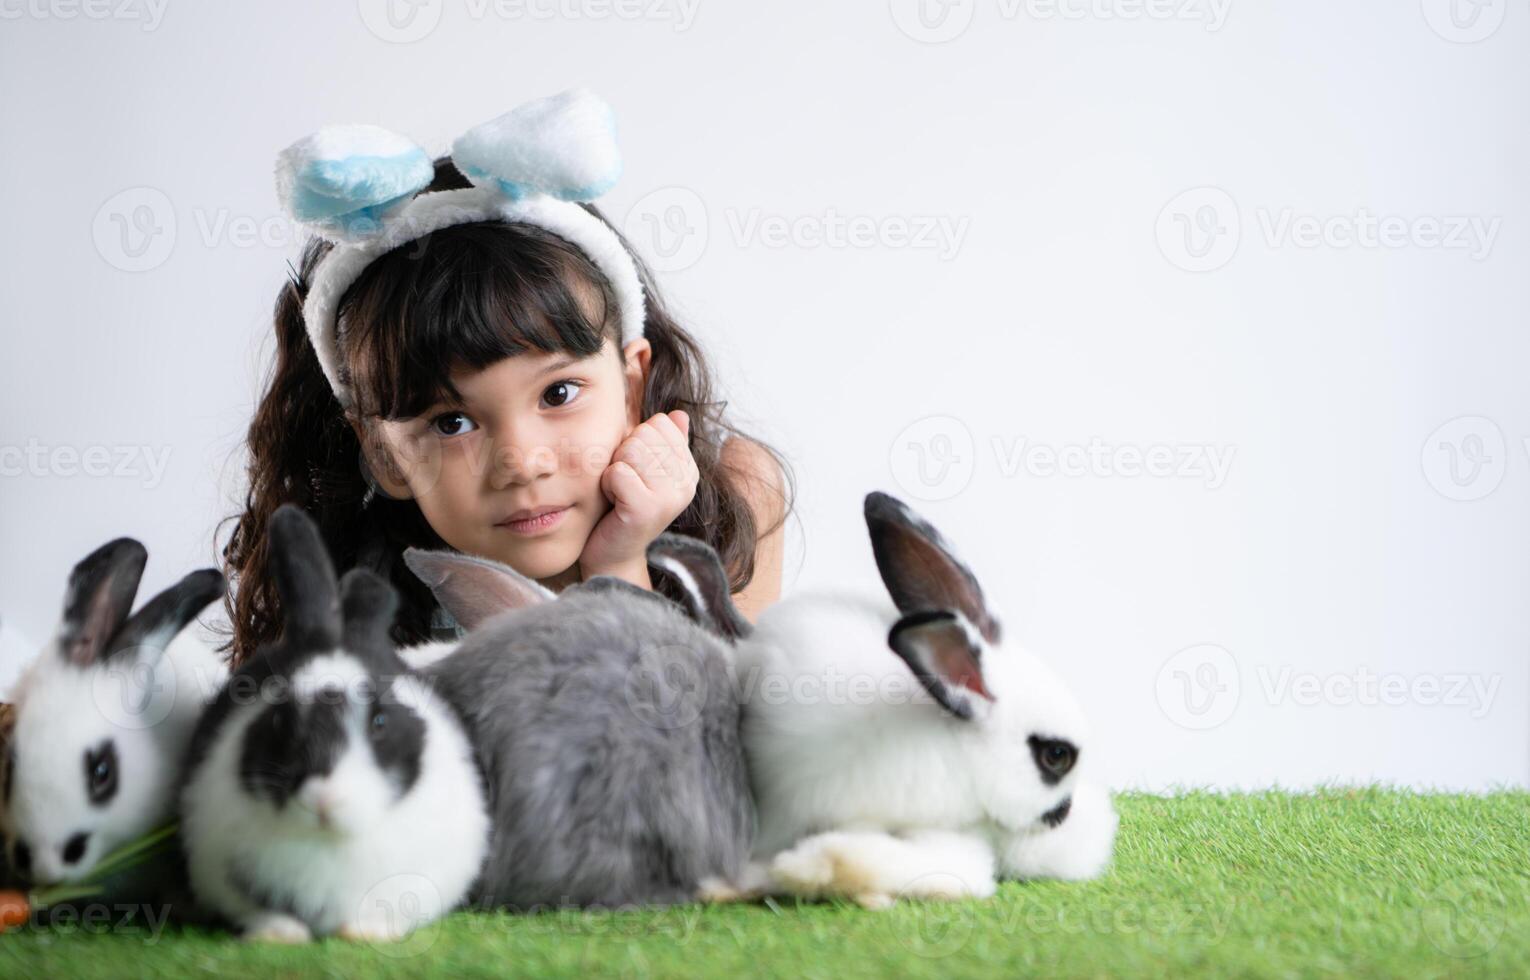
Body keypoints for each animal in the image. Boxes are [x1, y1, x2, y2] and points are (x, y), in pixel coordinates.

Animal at [178, 504, 489, 941]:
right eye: (279, 720)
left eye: (380, 721)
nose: (324, 799)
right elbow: (260, 911)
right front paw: (280, 936)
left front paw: (365, 934)